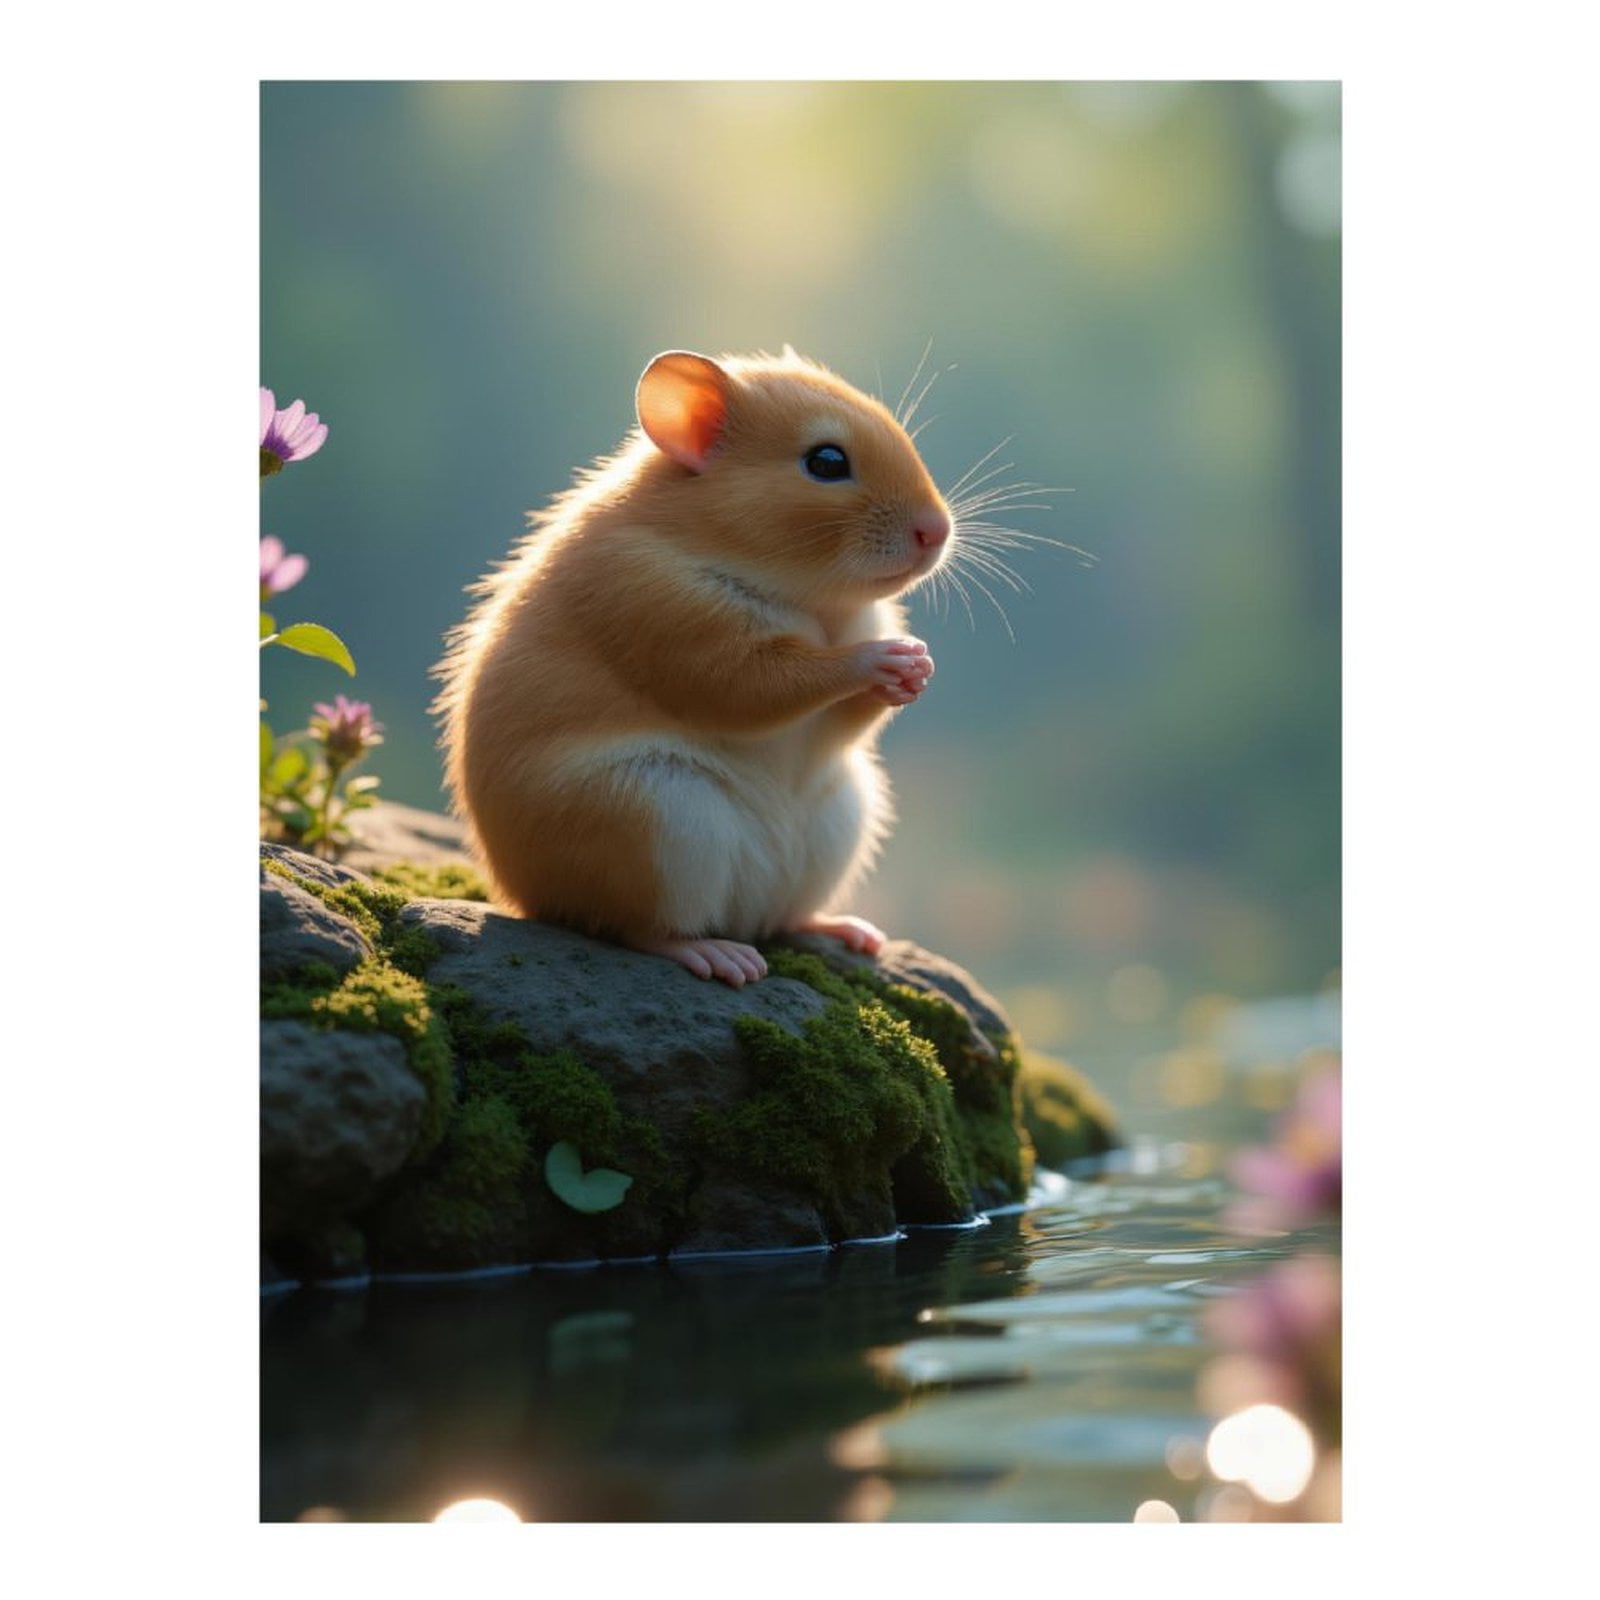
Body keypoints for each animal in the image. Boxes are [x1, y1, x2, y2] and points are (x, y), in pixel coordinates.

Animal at [433, 347, 953, 987]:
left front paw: (916, 670)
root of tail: (524, 899)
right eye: (826, 462)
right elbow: (759, 686)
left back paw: (840, 928)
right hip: (656, 819)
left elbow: (842, 724)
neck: (815, 602)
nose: (938, 531)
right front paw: (877, 660)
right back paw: (711, 954)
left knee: (784, 918)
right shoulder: (669, 618)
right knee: (632, 927)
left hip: (840, 819)